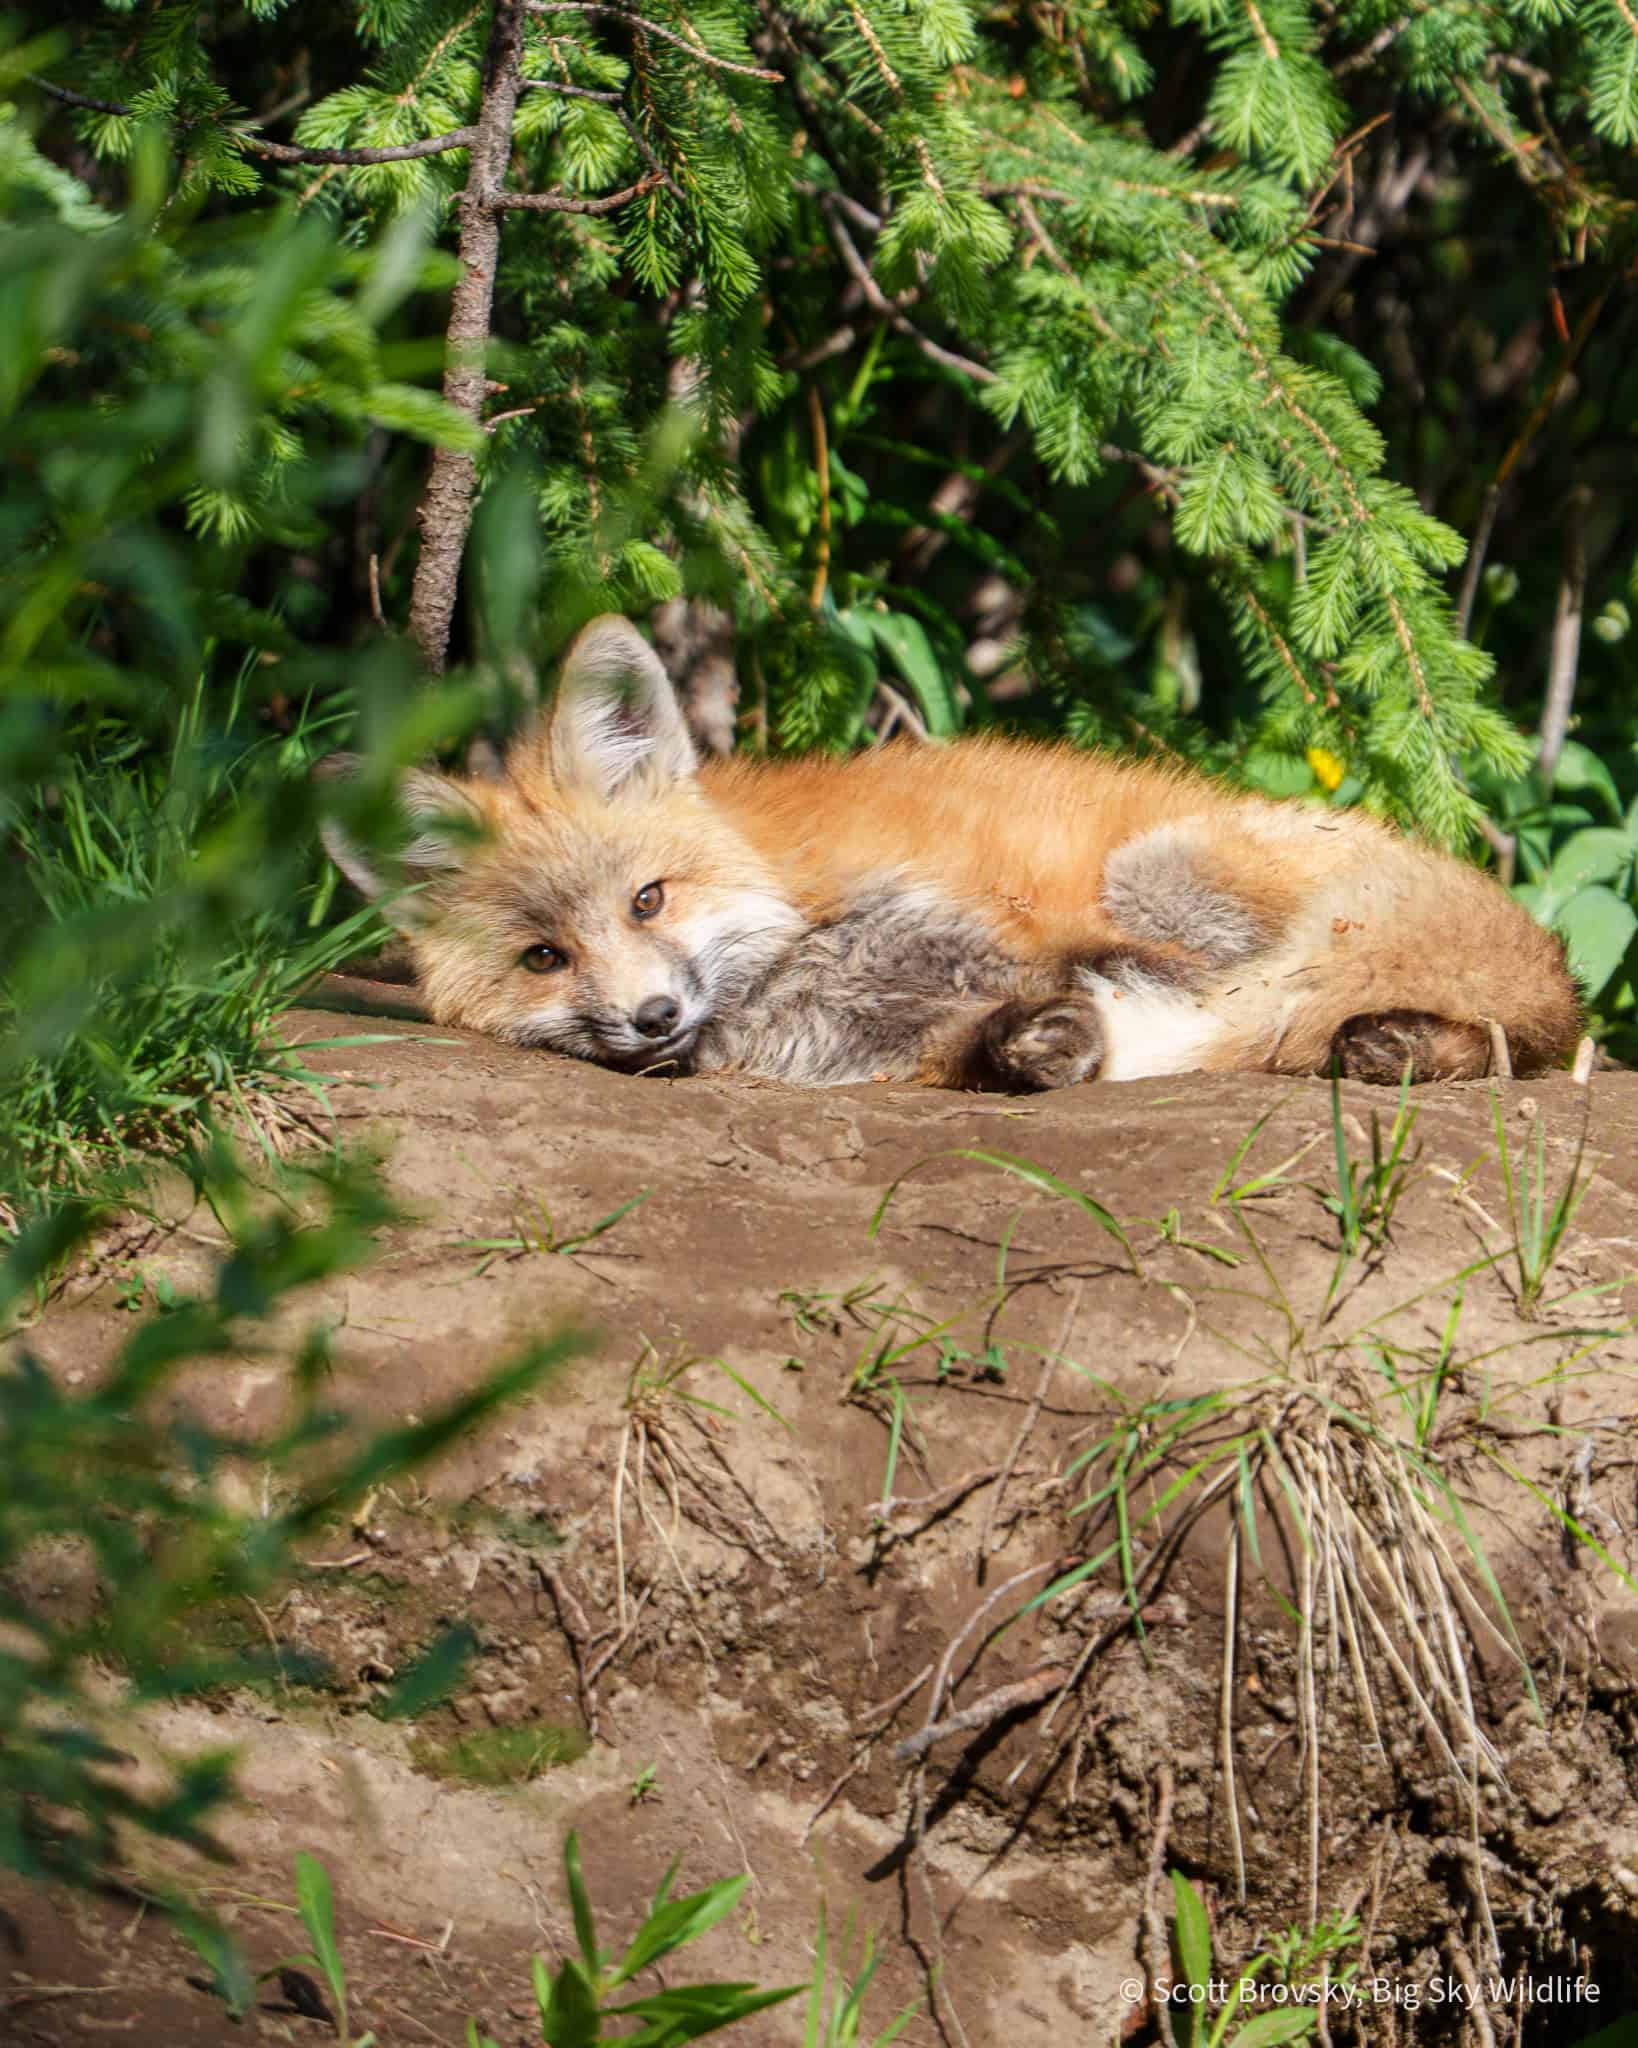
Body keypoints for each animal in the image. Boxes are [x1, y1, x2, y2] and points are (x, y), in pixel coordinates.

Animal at [319, 615, 1582, 1092]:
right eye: (544, 957)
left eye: (647, 899)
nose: (651, 1017)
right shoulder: (864, 1052)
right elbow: (987, 1047)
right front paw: (1039, 1046)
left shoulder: (1015, 925)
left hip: (1159, 867)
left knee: (1531, 1037)